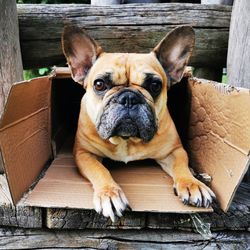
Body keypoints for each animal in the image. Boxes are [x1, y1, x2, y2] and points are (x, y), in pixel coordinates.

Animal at [61, 25, 216, 221]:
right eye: (99, 84)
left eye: (155, 85)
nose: (129, 98)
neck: (126, 140)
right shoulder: (84, 154)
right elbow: (100, 170)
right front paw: (109, 194)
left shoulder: (174, 151)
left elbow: (182, 165)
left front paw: (192, 184)